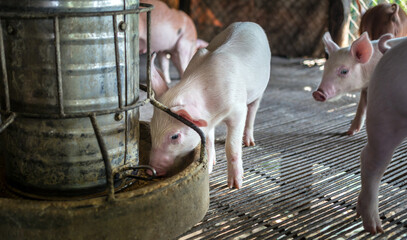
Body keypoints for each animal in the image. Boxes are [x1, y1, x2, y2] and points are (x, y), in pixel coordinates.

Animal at [149, 22, 270, 189]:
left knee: (252, 111)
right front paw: (209, 168)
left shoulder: (238, 110)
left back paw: (249, 142)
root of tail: (250, 23)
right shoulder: (206, 119)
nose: (150, 171)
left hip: (261, 89)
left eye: (174, 136)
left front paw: (235, 185)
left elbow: (231, 146)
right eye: (151, 127)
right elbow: (208, 140)